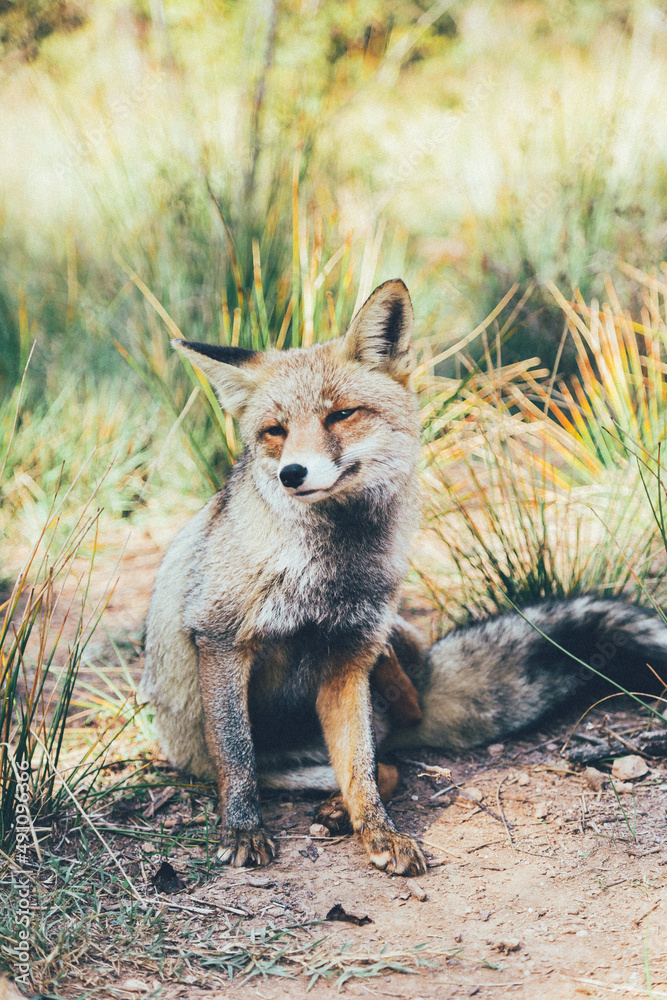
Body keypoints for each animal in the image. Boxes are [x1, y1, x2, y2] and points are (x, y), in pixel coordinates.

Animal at [140, 278, 667, 876]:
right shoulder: (222, 637)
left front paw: (378, 833)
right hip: (266, 758)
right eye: (274, 431)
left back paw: (342, 807)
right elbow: (236, 755)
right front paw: (244, 829)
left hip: (390, 646)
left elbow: (360, 771)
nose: (292, 474)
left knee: (386, 759)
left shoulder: (350, 654)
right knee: (341, 762)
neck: (331, 571)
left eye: (340, 416)